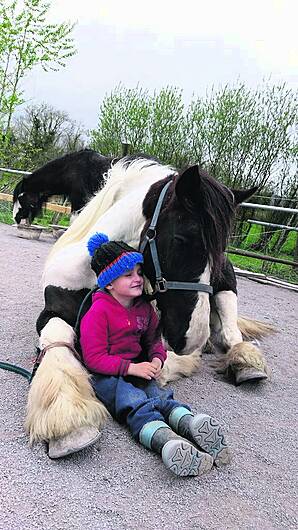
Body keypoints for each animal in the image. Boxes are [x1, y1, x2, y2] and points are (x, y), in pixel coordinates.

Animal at [25, 156, 272, 454]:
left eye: (219, 248)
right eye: (181, 239)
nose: (192, 340)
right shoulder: (52, 310)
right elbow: (57, 339)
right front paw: (68, 418)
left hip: (227, 282)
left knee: (230, 329)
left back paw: (246, 363)